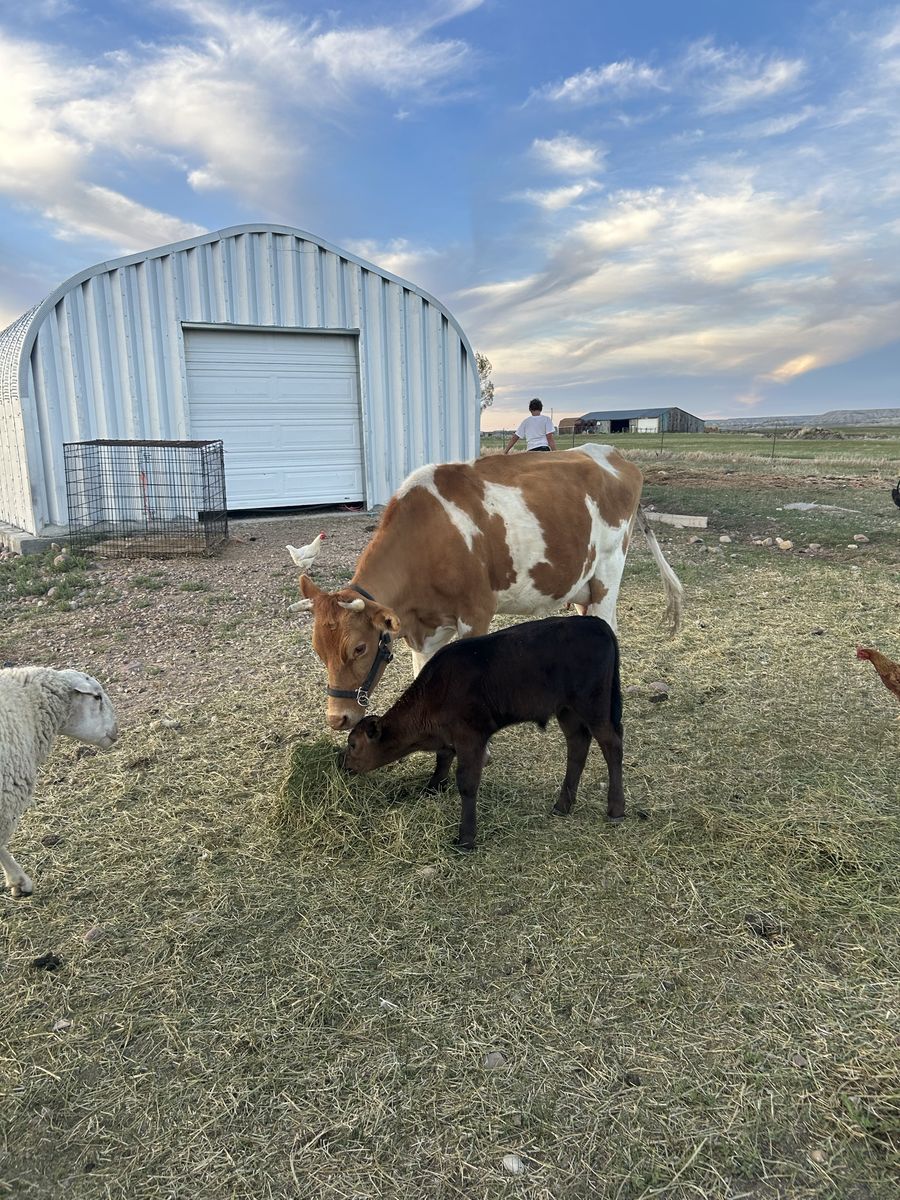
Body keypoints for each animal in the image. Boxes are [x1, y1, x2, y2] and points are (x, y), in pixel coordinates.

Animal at [291, 445, 682, 731]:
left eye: (359, 648)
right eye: (317, 650)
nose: (337, 718)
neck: (428, 536)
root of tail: (611, 454)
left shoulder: (476, 614)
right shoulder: (423, 630)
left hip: (608, 572)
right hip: (581, 584)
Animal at [342, 616, 624, 851]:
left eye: (353, 744)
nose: (341, 764)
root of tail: (595, 622)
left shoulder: (471, 737)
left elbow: (467, 783)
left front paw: (466, 838)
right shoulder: (448, 738)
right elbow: (442, 761)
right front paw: (431, 788)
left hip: (593, 705)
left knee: (612, 745)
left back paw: (616, 809)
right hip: (567, 710)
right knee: (577, 745)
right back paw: (562, 805)